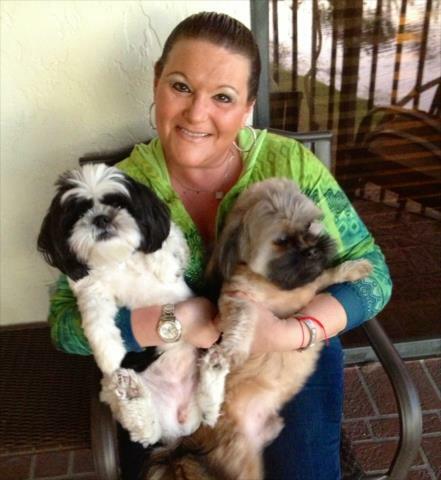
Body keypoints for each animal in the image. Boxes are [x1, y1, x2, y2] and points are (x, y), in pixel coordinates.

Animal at [37, 163, 228, 446]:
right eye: (78, 212)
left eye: (118, 203)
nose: (101, 218)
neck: (118, 260)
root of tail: (181, 422)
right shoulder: (90, 289)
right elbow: (96, 321)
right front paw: (108, 352)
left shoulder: (162, 231)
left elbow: (167, 240)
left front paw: (167, 267)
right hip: (111, 387)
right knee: (147, 432)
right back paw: (135, 397)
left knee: (209, 411)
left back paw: (212, 370)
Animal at [145, 178, 372, 479]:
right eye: (282, 241)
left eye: (309, 225)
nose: (312, 249)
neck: (277, 286)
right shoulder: (235, 301)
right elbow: (244, 317)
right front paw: (232, 350)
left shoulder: (310, 287)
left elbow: (326, 274)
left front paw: (353, 268)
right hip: (243, 456)